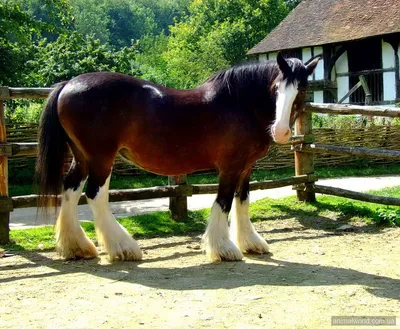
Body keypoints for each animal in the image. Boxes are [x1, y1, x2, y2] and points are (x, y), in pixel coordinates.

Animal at [36, 52, 320, 262]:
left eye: (302, 90)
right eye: (276, 88)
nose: (281, 131)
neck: (240, 104)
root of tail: (68, 85)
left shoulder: (246, 167)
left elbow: (243, 201)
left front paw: (250, 243)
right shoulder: (230, 167)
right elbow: (224, 202)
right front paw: (223, 249)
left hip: (82, 158)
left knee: (70, 190)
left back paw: (76, 247)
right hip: (101, 158)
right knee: (95, 194)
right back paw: (123, 247)